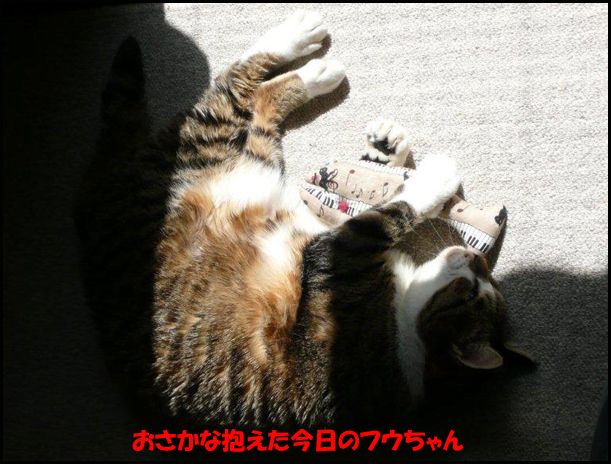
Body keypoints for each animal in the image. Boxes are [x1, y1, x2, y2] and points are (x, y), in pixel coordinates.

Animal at [76, 10, 532, 429]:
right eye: (476, 285)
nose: (473, 258)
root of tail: (102, 187)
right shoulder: (341, 238)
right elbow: (390, 201)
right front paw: (390, 151)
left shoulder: (340, 251)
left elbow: (395, 210)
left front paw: (428, 176)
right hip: (242, 154)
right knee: (251, 92)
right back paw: (307, 53)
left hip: (213, 146)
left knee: (235, 90)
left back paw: (306, 57)